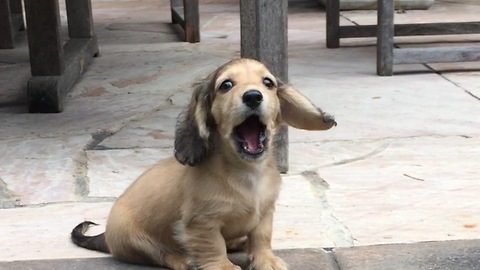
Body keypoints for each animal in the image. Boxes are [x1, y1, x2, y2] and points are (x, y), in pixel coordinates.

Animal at [71, 59, 336, 270]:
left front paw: (265, 260)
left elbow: (261, 237)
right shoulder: (202, 223)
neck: (246, 171)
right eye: (226, 85)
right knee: (161, 255)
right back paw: (184, 260)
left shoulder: (265, 212)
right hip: (132, 238)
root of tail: (106, 235)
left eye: (268, 83)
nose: (253, 96)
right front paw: (222, 267)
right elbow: (213, 246)